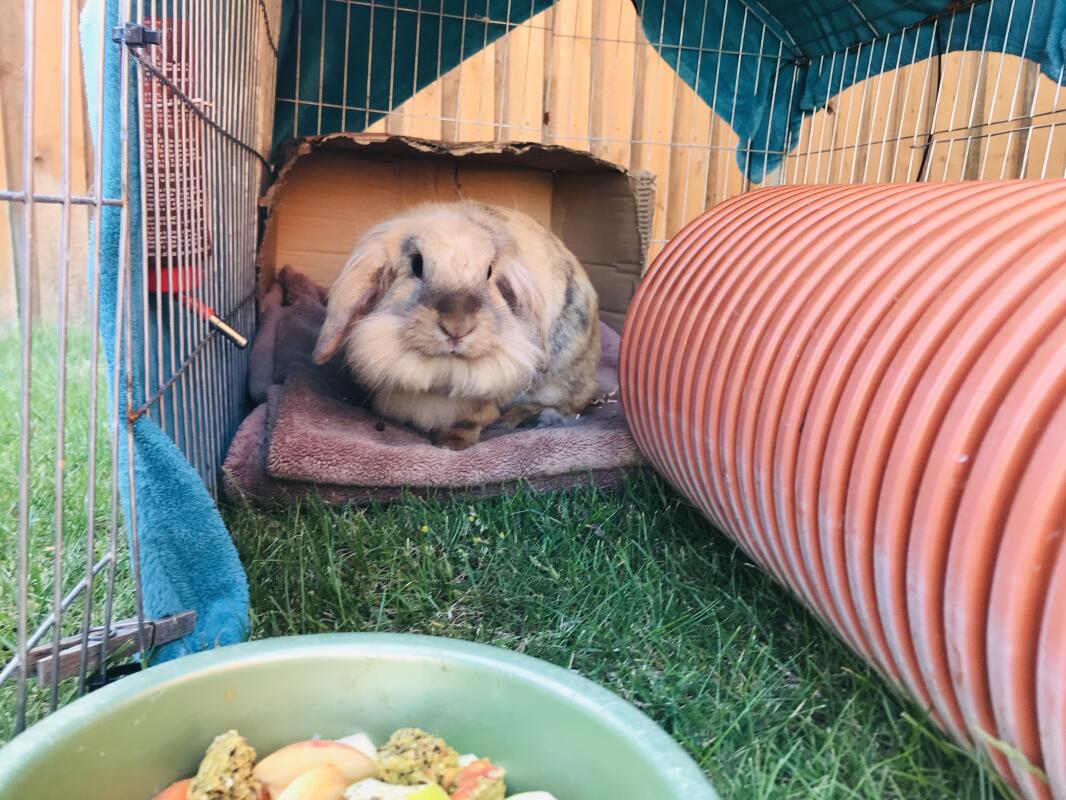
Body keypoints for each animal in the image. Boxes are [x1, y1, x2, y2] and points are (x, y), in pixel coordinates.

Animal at [312, 201, 602, 450]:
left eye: (489, 272)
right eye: (416, 264)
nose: (457, 327)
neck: (443, 373)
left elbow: (475, 419)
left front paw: (452, 444)